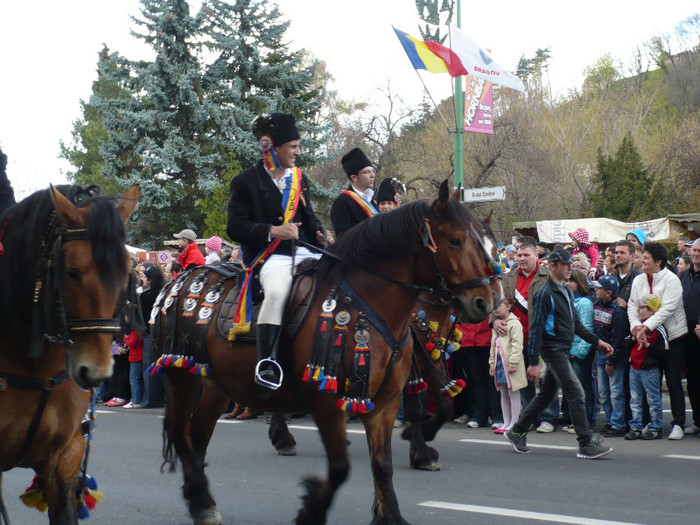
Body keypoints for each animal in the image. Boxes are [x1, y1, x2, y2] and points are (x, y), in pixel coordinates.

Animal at [156, 181, 500, 524]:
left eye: (491, 247)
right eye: (455, 241)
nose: (487, 301)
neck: (370, 302)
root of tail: (183, 278)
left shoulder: (389, 395)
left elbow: (386, 460)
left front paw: (395, 506)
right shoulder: (329, 401)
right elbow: (341, 467)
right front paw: (312, 509)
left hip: (216, 383)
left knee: (198, 434)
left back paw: (203, 499)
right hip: (184, 375)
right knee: (183, 433)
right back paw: (219, 486)